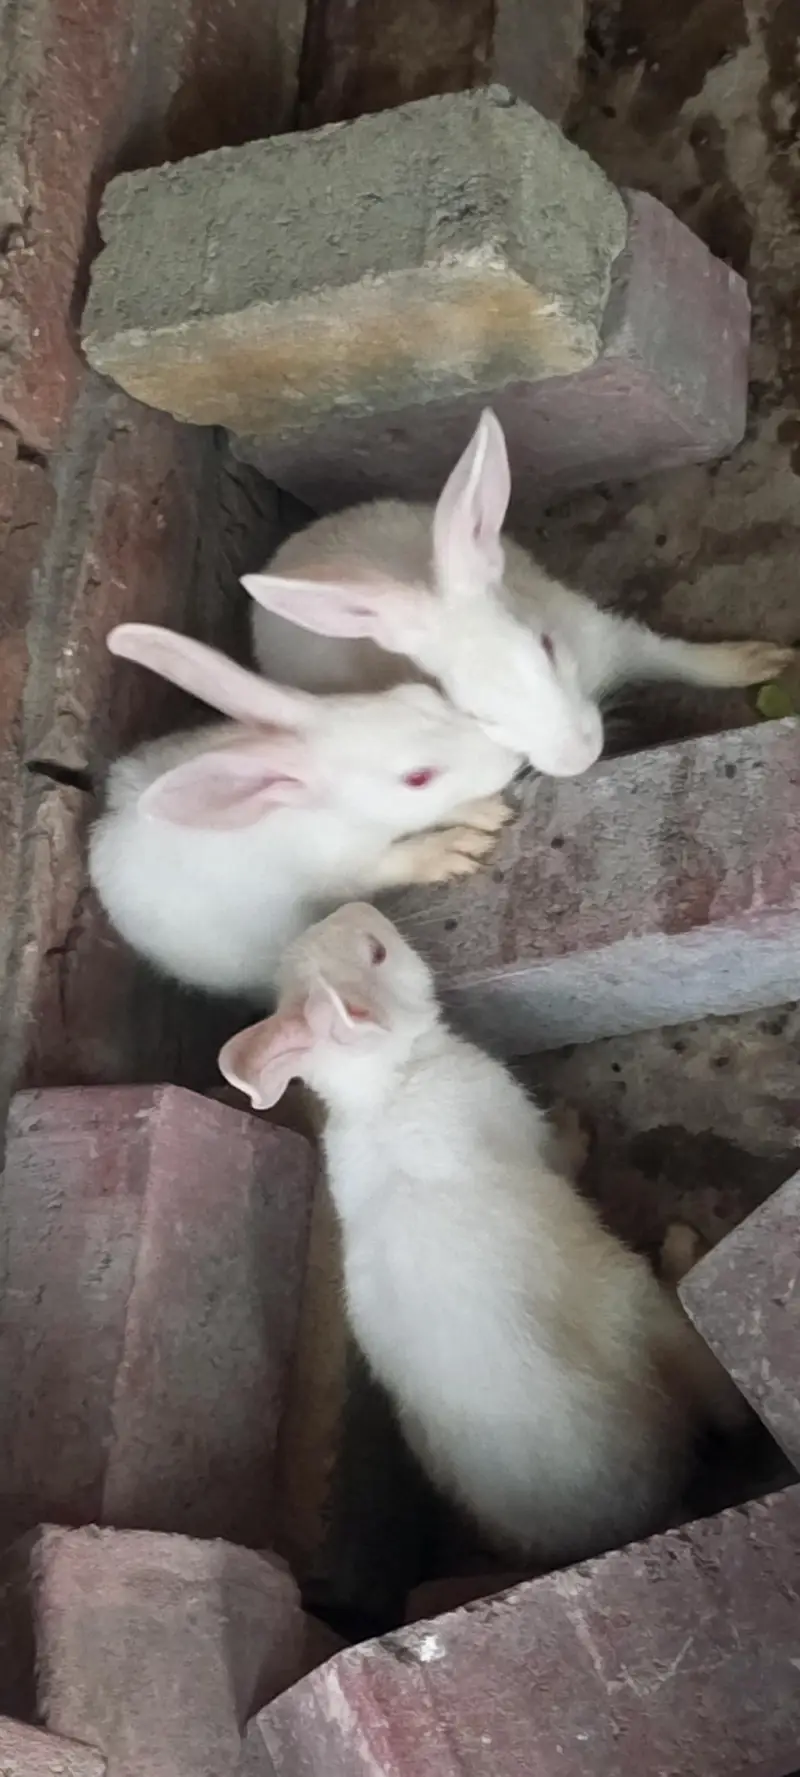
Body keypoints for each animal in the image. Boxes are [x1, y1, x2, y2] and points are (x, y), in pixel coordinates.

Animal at [88, 624, 521, 1000]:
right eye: (417, 778)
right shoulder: (350, 868)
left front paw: (484, 812)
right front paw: (455, 850)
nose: (512, 756)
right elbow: (400, 860)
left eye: (421, 695)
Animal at [219, 900, 747, 1568]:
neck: (387, 1081)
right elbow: (561, 1153)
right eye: (377, 954)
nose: (362, 906)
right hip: (642, 1311)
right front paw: (576, 1127)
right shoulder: (526, 1134)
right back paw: (684, 1249)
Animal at [242, 408, 795, 778]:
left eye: (546, 646)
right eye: (471, 711)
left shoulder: (608, 636)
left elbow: (677, 658)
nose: (578, 759)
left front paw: (762, 661)